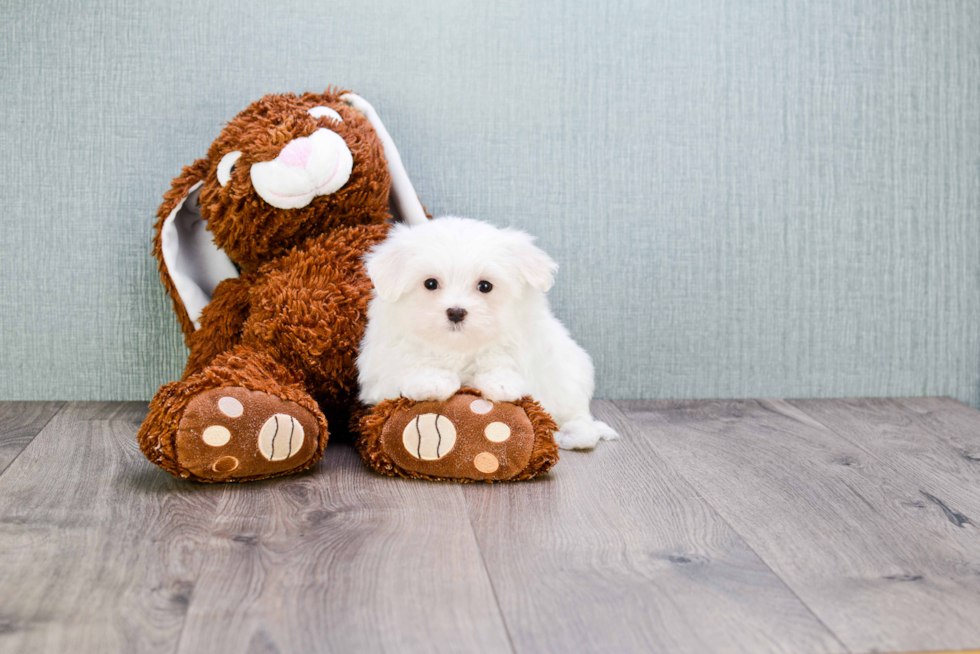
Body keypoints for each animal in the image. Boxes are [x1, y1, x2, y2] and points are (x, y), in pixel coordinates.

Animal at [358, 217, 620, 452]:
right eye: (430, 283)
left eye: (485, 286)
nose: (456, 312)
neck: (458, 347)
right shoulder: (379, 370)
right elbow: (403, 367)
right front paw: (432, 380)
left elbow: (504, 362)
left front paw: (499, 382)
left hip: (571, 374)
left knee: (579, 416)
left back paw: (572, 435)